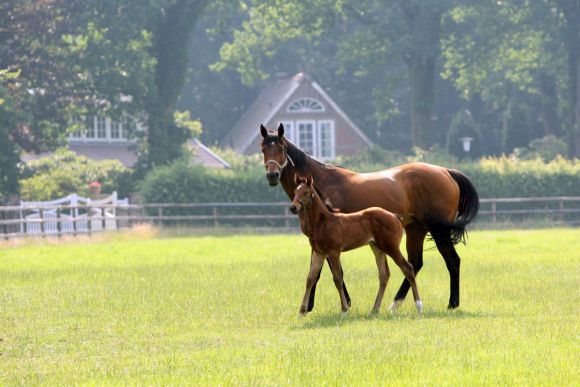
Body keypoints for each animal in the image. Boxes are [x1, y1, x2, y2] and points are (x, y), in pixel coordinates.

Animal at [290, 176, 422, 316]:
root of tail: (394, 216)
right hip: (377, 248)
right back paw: (374, 309)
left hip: (391, 247)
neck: (323, 222)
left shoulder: (333, 252)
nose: (293, 207)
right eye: (295, 192)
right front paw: (301, 311)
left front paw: (344, 310)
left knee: (408, 268)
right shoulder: (318, 252)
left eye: (305, 192)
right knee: (384, 275)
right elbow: (310, 278)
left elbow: (337, 279)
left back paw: (419, 306)